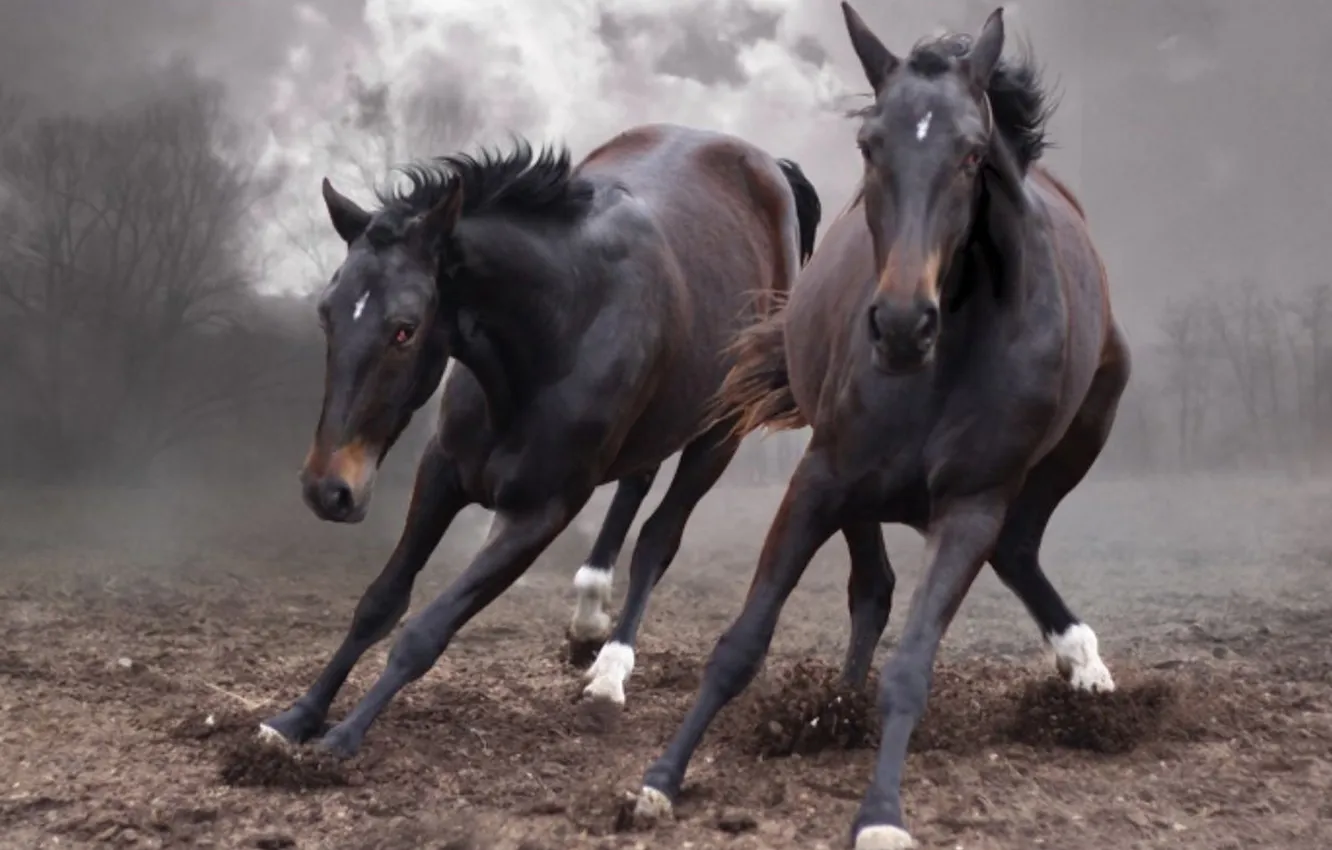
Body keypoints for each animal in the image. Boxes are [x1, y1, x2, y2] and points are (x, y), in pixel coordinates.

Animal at [253, 121, 820, 756]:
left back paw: (610, 672)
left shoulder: (540, 512)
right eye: (326, 314)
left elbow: (426, 629)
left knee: (659, 537)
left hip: (720, 431)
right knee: (637, 482)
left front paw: (343, 736)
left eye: (405, 328)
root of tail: (769, 166)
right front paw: (297, 717)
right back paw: (589, 621)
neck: (556, 329)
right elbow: (380, 602)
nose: (328, 489)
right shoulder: (443, 473)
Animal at [628, 8, 1129, 850]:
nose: (899, 324)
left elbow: (913, 665)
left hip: (1085, 430)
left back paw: (1084, 666)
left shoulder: (970, 509)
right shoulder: (819, 479)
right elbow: (740, 645)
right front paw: (658, 782)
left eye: (971, 154)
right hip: (853, 485)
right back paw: (841, 707)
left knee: (1014, 547)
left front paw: (882, 815)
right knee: (877, 584)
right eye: (870, 146)